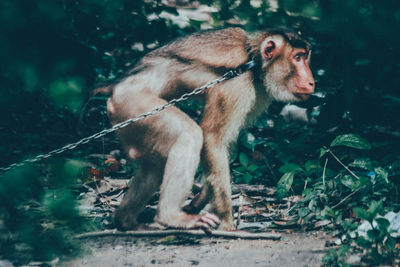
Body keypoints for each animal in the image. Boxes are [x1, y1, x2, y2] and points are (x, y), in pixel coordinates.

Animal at [107, 27, 316, 232]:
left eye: (306, 57)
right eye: (298, 58)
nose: (312, 82)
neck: (255, 62)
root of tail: (115, 92)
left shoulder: (259, 93)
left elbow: (226, 142)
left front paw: (202, 198)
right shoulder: (237, 86)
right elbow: (212, 138)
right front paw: (226, 220)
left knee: (155, 164)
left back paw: (125, 220)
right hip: (136, 103)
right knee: (189, 135)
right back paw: (170, 216)